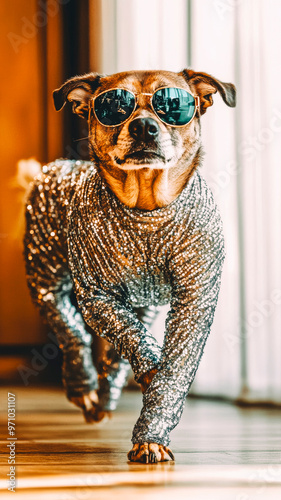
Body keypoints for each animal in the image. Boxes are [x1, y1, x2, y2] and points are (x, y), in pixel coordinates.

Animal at [24, 68, 235, 462]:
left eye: (174, 104)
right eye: (113, 106)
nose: (144, 127)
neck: (147, 209)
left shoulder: (195, 300)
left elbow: (168, 361)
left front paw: (154, 425)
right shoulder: (97, 296)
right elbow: (127, 337)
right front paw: (151, 379)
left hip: (145, 304)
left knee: (118, 348)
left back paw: (107, 396)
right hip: (43, 274)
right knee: (68, 326)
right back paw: (84, 386)